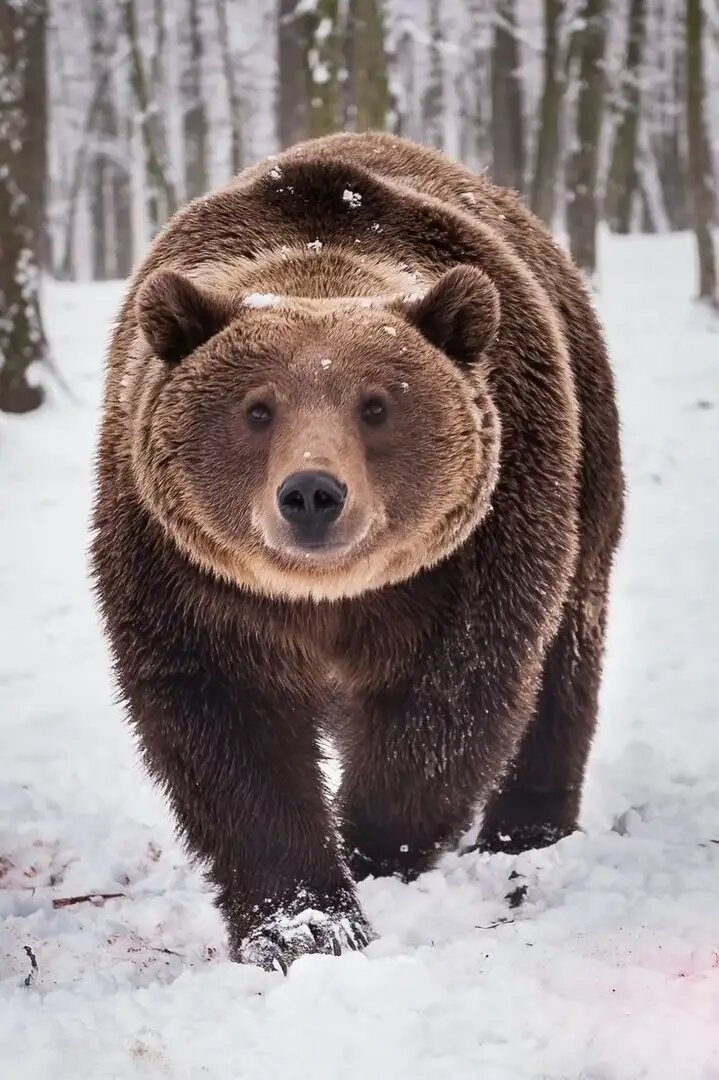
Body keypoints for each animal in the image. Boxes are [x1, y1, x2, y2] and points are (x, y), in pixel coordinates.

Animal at [92, 131, 623, 972]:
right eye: (257, 409)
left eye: (375, 405)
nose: (312, 492)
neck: (328, 597)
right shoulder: (180, 570)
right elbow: (228, 726)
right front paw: (304, 923)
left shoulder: (477, 548)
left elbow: (451, 699)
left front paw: (373, 848)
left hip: (586, 462)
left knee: (565, 654)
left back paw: (524, 834)